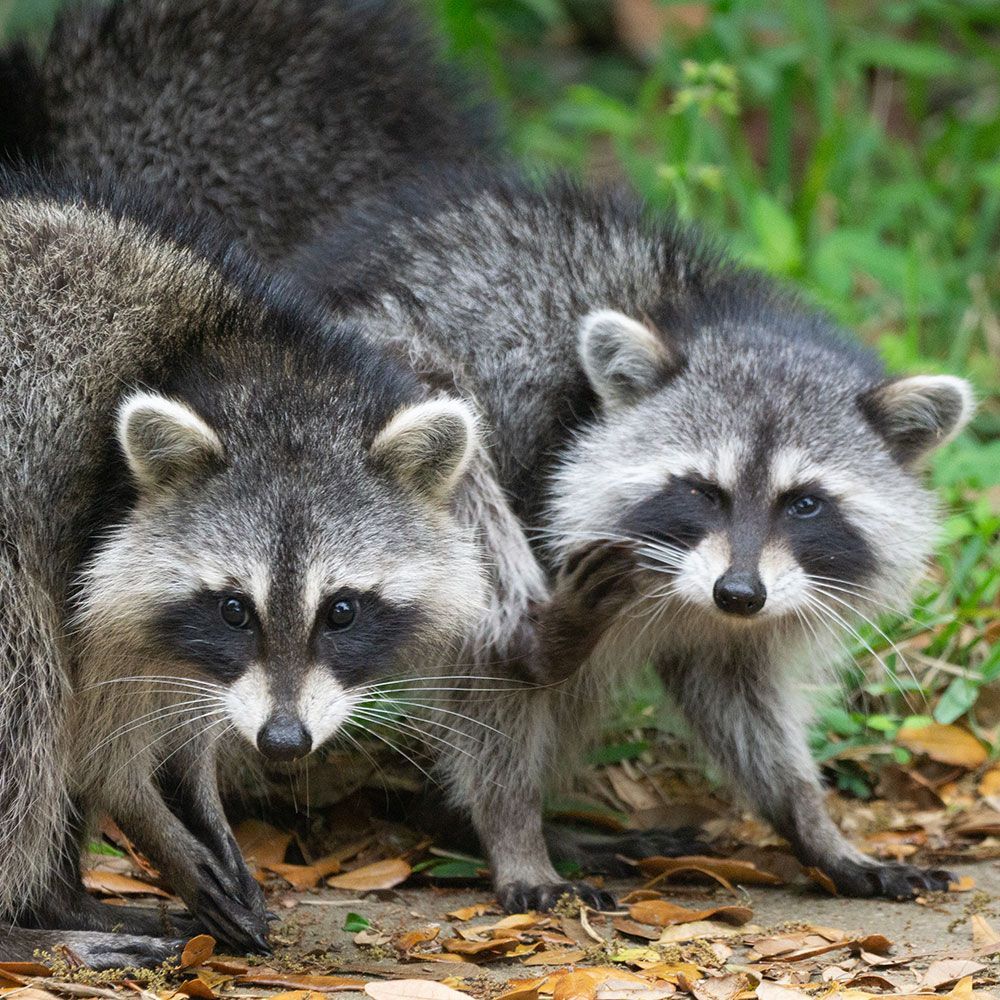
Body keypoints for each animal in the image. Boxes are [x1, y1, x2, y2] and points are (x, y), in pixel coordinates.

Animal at [0, 173, 492, 964]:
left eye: (341, 610)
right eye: (236, 609)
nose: (283, 743)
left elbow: (178, 700)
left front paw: (192, 794)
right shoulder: (73, 522)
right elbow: (96, 728)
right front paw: (153, 819)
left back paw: (57, 898)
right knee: (26, 685)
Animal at [289, 170, 975, 901]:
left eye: (805, 504)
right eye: (703, 491)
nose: (739, 594)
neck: (693, 312)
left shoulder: (739, 606)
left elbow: (736, 695)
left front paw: (810, 821)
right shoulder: (535, 465)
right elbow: (490, 684)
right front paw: (513, 832)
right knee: (441, 410)